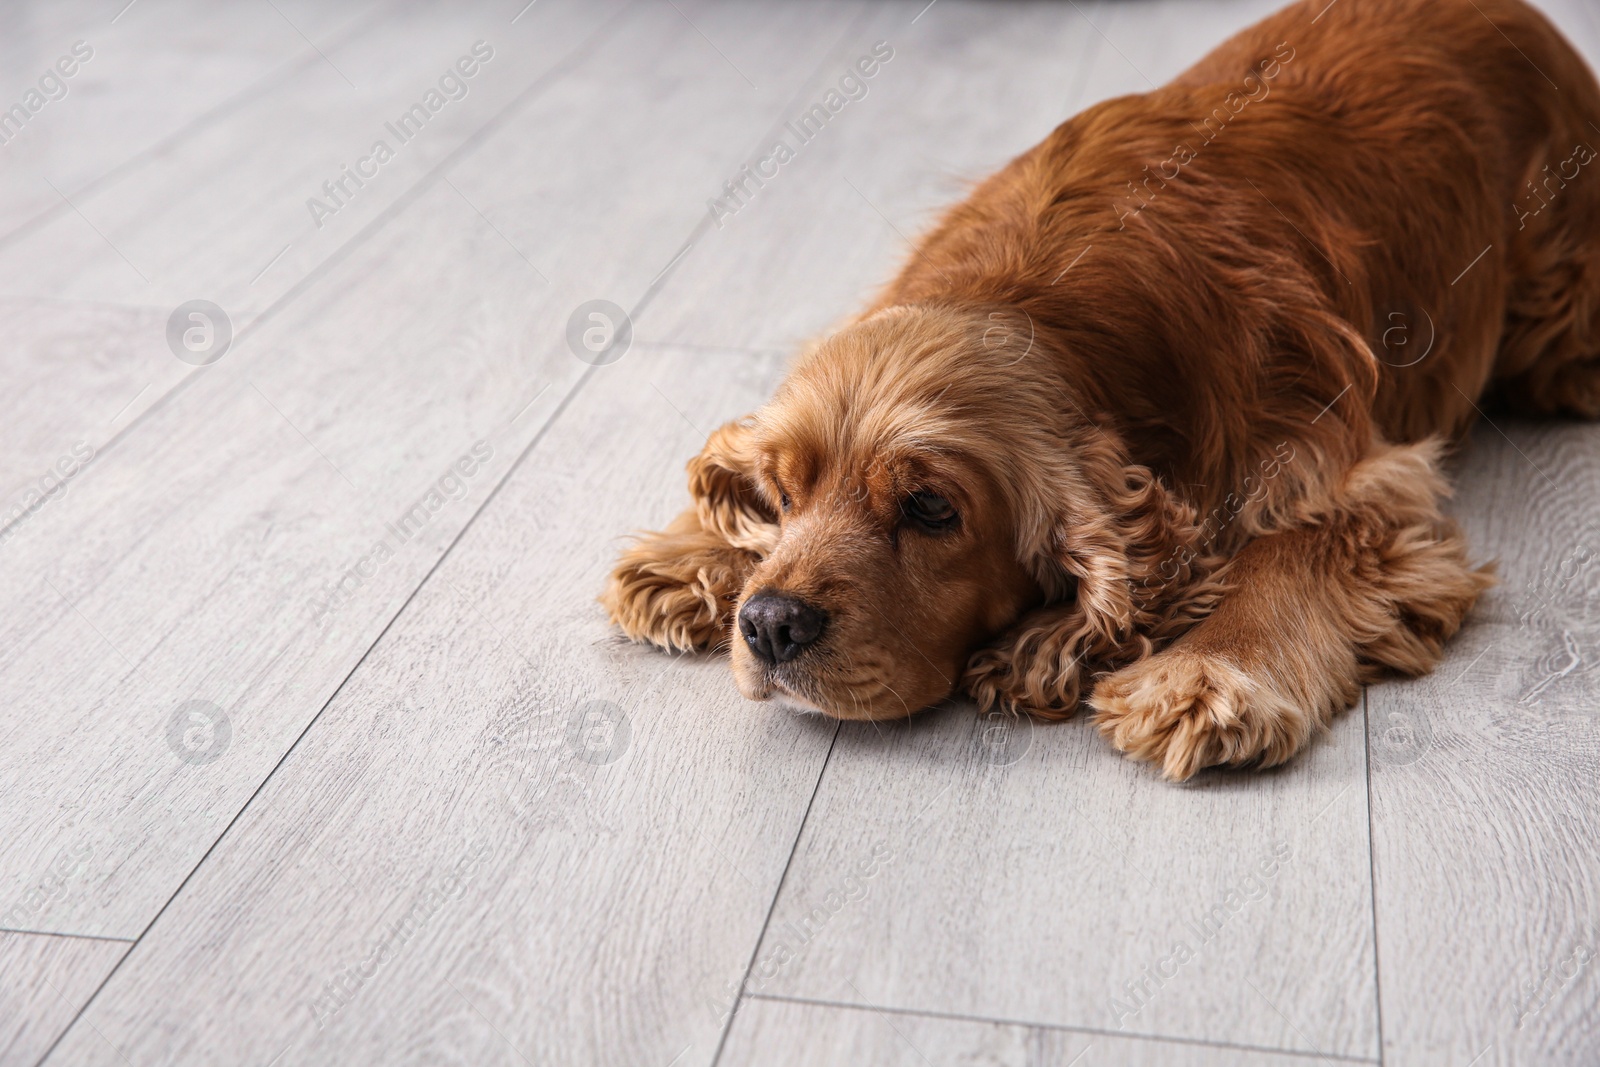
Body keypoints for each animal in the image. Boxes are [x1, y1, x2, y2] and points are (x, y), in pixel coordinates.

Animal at [601, 0, 1600, 783]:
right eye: (782, 491)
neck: (1037, 299)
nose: (769, 623)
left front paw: (1212, 673)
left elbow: (1297, 546)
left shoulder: (1354, 466)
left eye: (930, 508)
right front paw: (687, 557)